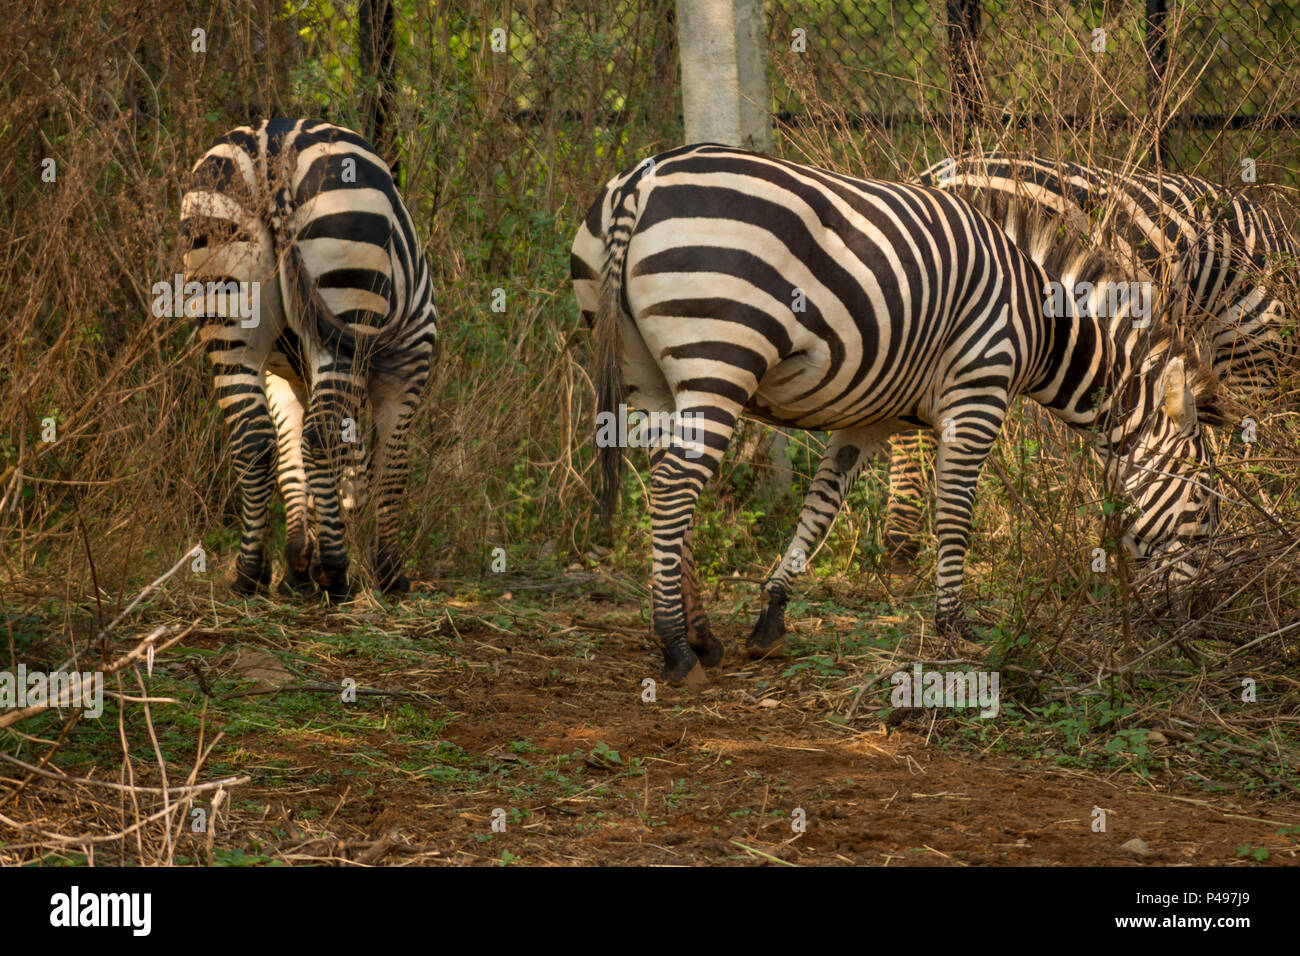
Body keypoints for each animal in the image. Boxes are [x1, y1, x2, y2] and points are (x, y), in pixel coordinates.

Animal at [180, 117, 439, 598]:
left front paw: (297, 565)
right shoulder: (411, 355)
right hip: (346, 299)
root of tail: (275, 140)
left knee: (253, 440)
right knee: (321, 436)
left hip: (227, 310)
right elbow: (393, 465)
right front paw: (389, 571)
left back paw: (249, 573)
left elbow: (290, 460)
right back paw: (336, 574)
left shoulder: (284, 376)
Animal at [574, 141, 1222, 686]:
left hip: (649, 376)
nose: (1198, 617)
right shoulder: (978, 394)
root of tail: (641, 179)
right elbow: (955, 516)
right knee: (673, 486)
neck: (1041, 329)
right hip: (720, 355)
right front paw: (955, 627)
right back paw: (676, 648)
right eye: (1203, 497)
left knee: (667, 486)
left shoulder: (870, 417)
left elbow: (822, 504)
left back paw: (702, 637)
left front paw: (773, 615)